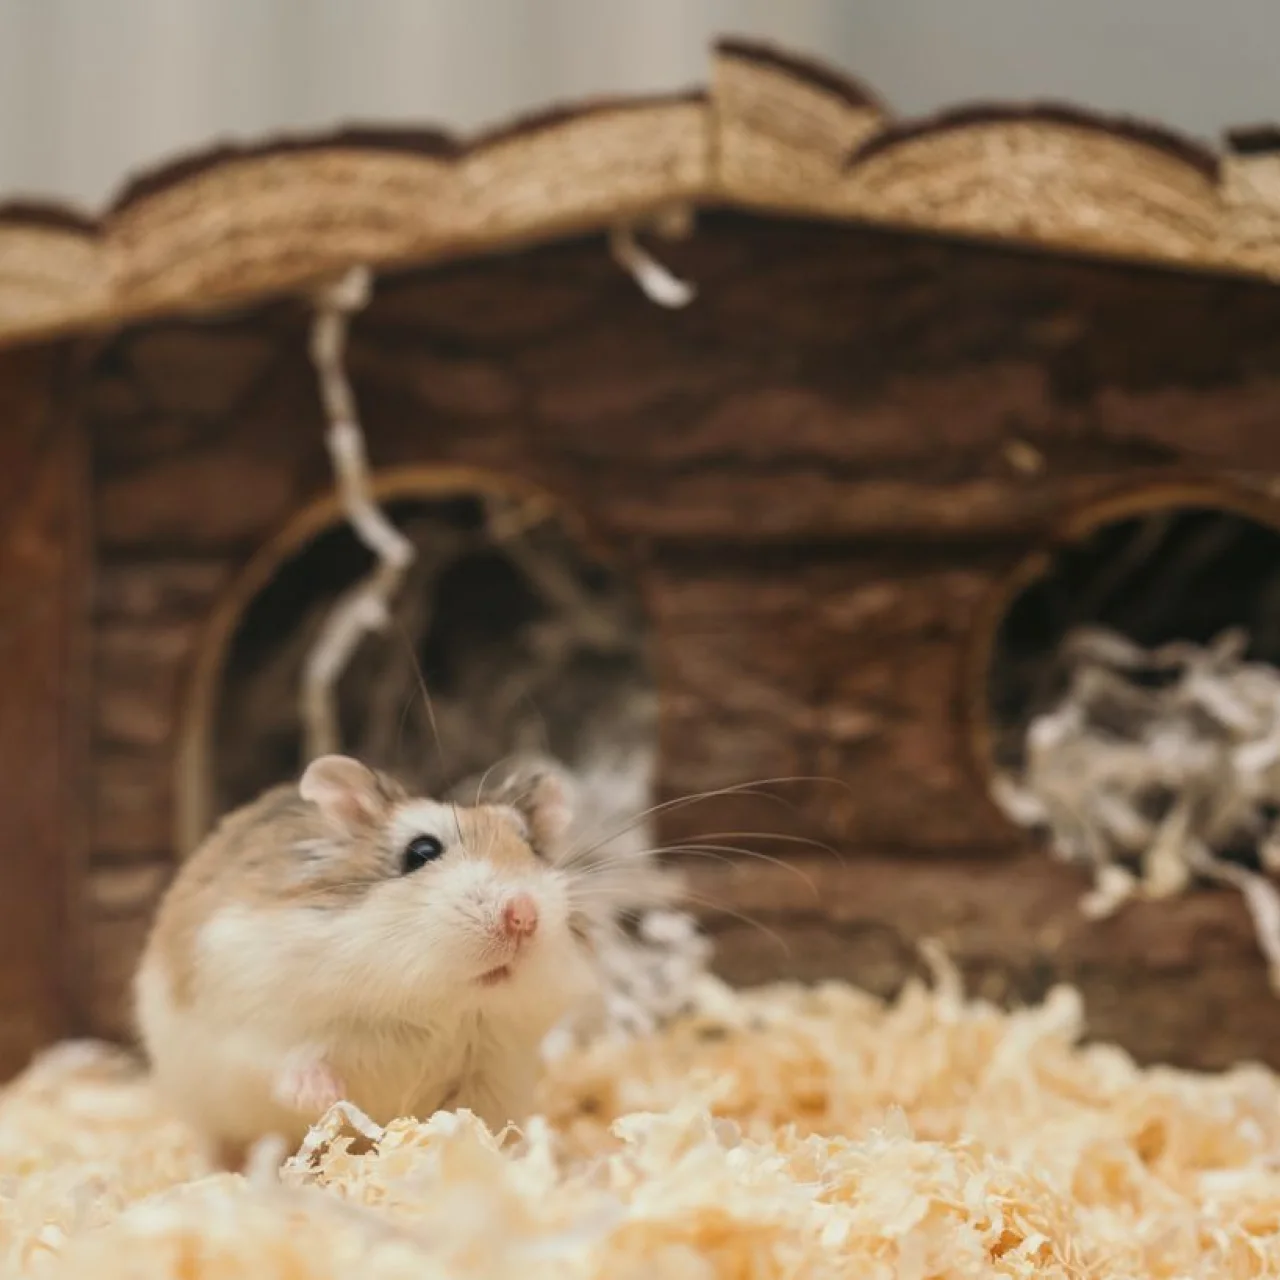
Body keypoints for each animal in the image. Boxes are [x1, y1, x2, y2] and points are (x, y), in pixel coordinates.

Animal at [133, 754, 599, 1166]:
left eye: (531, 847)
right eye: (421, 851)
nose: (523, 915)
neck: (431, 1004)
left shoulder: (494, 1072)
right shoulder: (252, 1020)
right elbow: (286, 1062)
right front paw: (327, 1097)